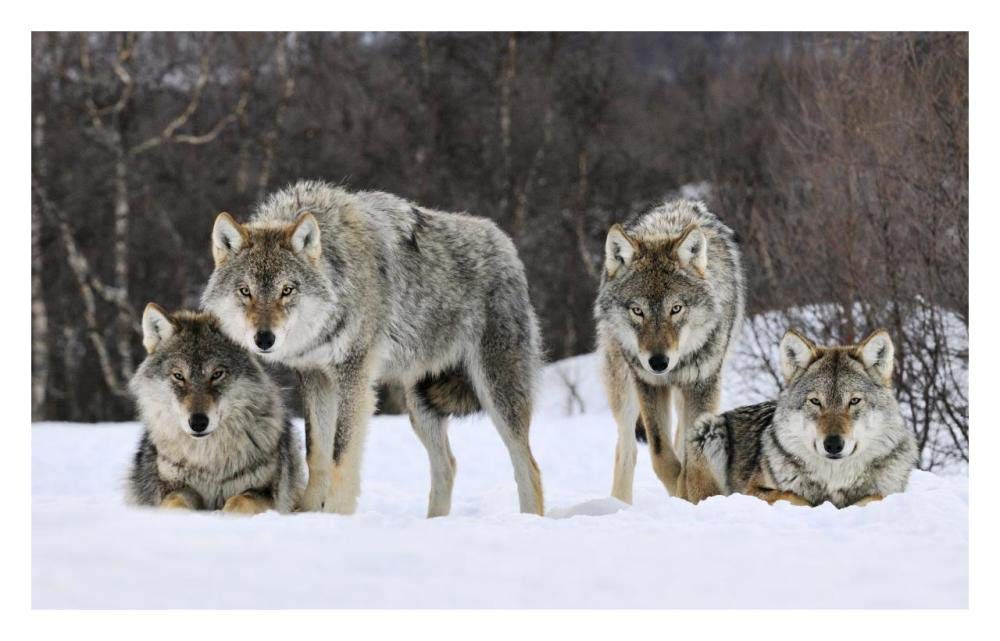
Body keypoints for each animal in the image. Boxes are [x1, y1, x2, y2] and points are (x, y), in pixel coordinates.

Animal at [127, 304, 304, 514]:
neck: (208, 460)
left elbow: (239, 502)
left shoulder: (265, 492)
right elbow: (175, 503)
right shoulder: (174, 488)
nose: (198, 422)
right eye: (178, 376)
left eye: (217, 374)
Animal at [202, 180, 544, 517]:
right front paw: (308, 513)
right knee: (448, 465)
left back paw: (529, 519)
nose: (264, 339)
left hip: (496, 393)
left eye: (287, 290)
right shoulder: (315, 377)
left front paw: (335, 515)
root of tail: (505, 243)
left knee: (529, 467)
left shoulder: (354, 376)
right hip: (420, 406)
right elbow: (317, 453)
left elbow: (341, 454)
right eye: (245, 291)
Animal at [595, 199, 744, 503]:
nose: (658, 362)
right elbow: (661, 455)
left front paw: (692, 494)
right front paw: (680, 491)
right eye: (637, 310)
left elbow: (690, 455)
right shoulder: (649, 384)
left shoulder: (703, 384)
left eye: (676, 309)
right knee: (627, 449)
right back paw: (619, 504)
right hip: (623, 388)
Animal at [683, 329, 917, 507]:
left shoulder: (888, 492)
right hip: (707, 428)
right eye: (815, 401)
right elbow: (792, 496)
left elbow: (874, 497)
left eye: (854, 401)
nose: (833, 444)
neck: (834, 480)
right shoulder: (752, 490)